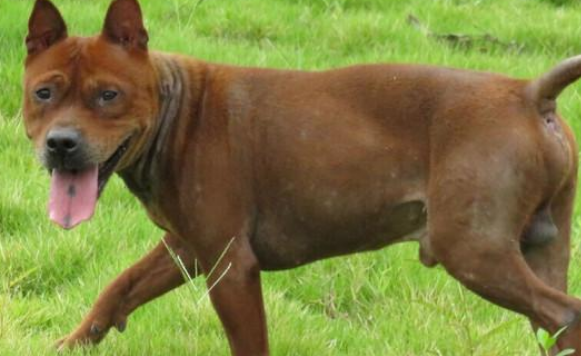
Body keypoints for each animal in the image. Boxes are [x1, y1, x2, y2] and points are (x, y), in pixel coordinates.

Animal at [22, 0, 580, 354]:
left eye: (108, 95)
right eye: (44, 93)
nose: (61, 145)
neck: (176, 108)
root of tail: (529, 93)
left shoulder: (231, 267)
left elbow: (249, 344)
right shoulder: (186, 248)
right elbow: (120, 287)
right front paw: (71, 343)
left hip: (471, 251)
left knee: (565, 313)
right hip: (537, 250)